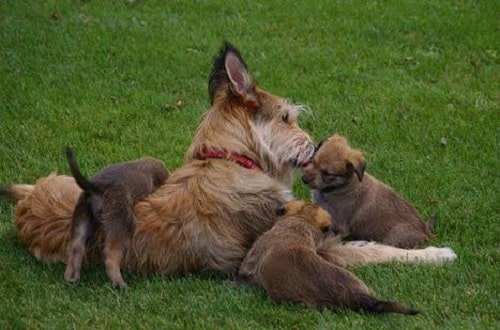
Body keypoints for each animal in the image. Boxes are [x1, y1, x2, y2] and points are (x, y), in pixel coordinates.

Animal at [63, 148, 170, 288]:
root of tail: (95, 186)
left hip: (82, 218)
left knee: (76, 247)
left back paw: (71, 277)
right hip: (121, 221)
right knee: (111, 256)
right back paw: (120, 283)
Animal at [300, 134, 434, 248]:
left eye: (327, 173)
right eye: (313, 161)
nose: (304, 179)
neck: (339, 186)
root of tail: (427, 233)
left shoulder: (339, 226)